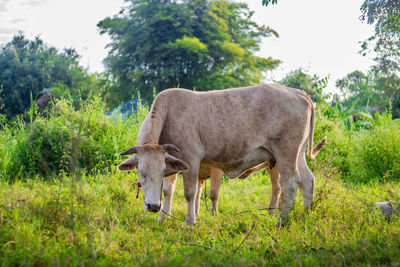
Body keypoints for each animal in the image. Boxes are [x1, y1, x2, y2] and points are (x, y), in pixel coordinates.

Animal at [119, 84, 328, 226]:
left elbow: (190, 193)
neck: (168, 115)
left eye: (160, 171)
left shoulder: (191, 159)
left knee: (291, 184)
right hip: (297, 154)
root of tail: (299, 93)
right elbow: (167, 191)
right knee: (307, 181)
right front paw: (162, 218)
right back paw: (305, 215)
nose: (153, 206)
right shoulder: (174, 161)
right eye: (141, 173)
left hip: (286, 153)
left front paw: (189, 222)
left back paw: (281, 221)